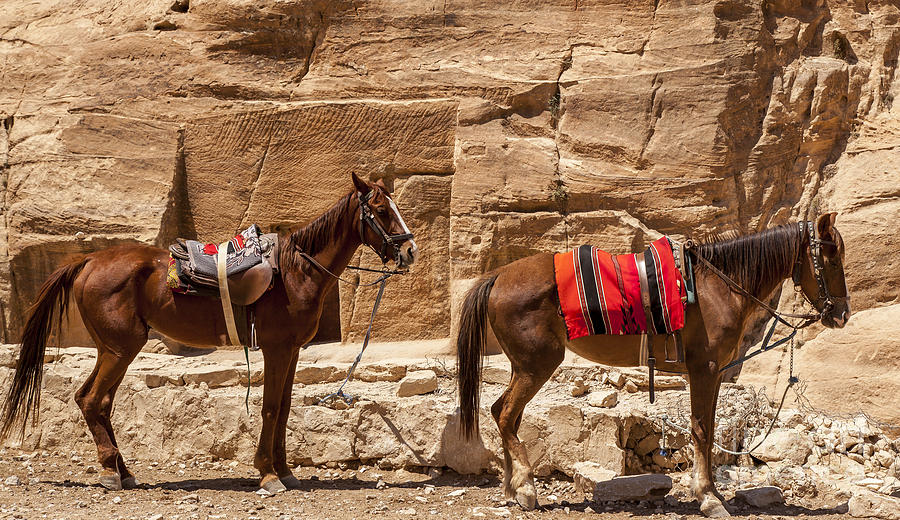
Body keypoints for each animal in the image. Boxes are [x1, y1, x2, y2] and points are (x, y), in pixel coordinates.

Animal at [0, 173, 414, 494]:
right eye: (381, 211)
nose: (409, 251)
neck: (296, 271)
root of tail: (88, 260)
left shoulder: (293, 350)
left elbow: (283, 409)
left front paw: (285, 472)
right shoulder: (277, 349)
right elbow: (270, 407)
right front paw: (268, 475)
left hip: (112, 349)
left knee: (99, 403)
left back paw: (124, 471)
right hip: (120, 349)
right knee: (90, 400)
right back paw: (109, 472)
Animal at [460, 213, 848, 516]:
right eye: (831, 259)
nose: (842, 314)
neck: (717, 287)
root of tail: (497, 276)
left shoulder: (715, 374)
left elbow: (707, 432)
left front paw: (711, 493)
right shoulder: (704, 370)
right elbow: (701, 431)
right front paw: (708, 498)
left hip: (523, 367)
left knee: (503, 414)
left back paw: (513, 487)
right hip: (536, 365)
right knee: (506, 414)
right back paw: (526, 488)